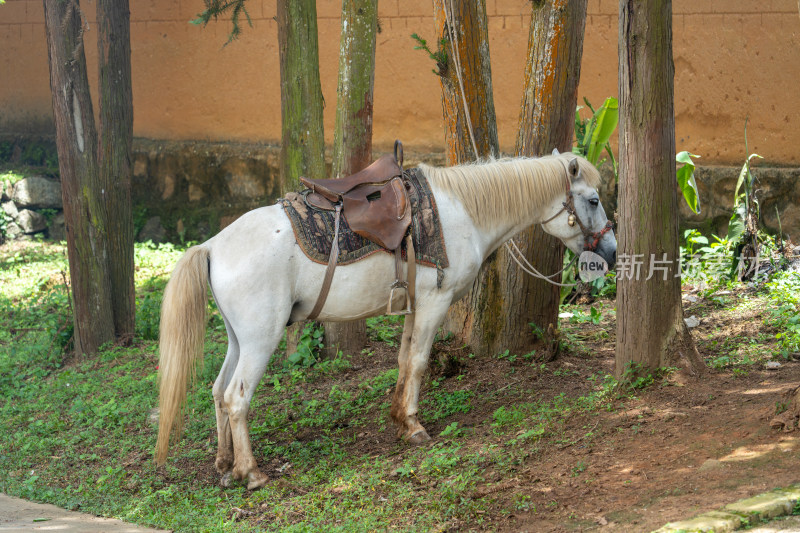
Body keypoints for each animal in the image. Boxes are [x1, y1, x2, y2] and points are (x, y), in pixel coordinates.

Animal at [156, 150, 620, 486]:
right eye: (593, 200)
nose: (612, 252)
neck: (461, 211)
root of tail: (213, 245)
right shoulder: (435, 301)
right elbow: (418, 362)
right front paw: (414, 426)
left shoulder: (415, 304)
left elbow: (403, 360)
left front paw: (399, 417)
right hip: (260, 340)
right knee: (237, 397)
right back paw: (250, 472)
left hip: (239, 339)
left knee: (218, 392)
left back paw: (225, 464)